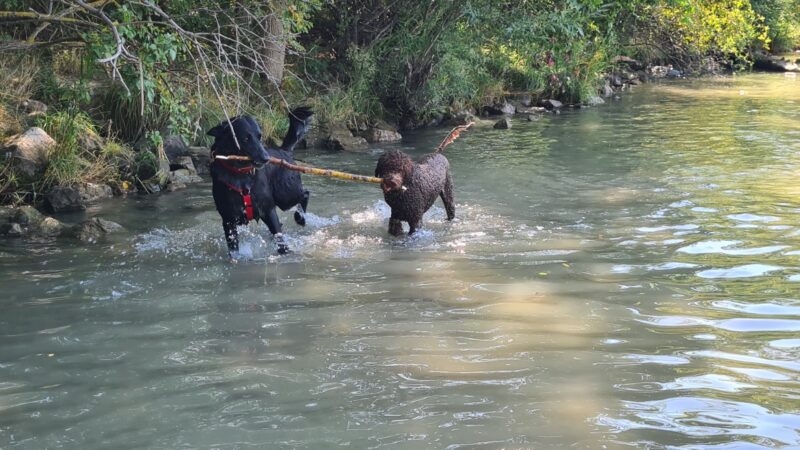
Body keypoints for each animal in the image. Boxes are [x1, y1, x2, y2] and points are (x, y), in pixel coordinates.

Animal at [208, 106, 314, 258]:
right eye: (245, 138)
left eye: (260, 137)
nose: (266, 158)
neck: (241, 175)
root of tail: (283, 150)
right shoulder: (228, 219)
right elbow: (233, 249)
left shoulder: (268, 210)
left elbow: (279, 237)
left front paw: (285, 253)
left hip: (285, 195)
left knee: (305, 194)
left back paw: (301, 218)